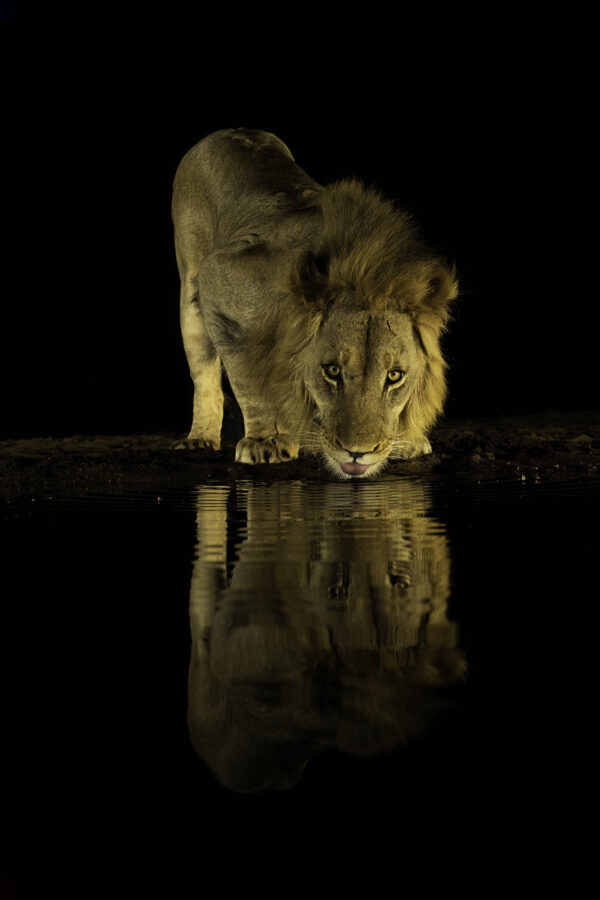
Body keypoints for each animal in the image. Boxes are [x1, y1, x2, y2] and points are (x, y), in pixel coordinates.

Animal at [171, 128, 458, 478]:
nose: (358, 453)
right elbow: (247, 376)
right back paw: (201, 438)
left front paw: (408, 440)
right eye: (332, 370)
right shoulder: (221, 278)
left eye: (394, 376)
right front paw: (265, 441)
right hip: (190, 286)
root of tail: (228, 131)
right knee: (204, 372)